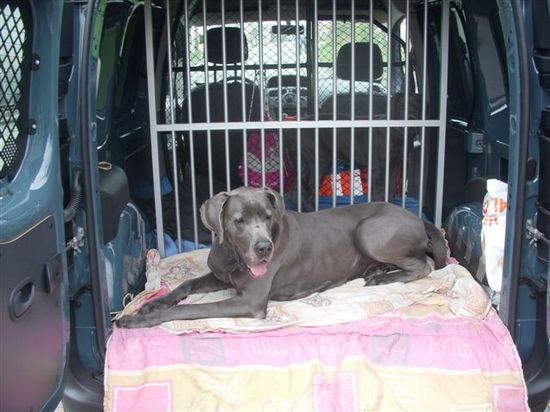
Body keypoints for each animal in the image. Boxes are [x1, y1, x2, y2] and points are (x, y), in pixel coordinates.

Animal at [117, 186, 446, 328]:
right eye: (239, 220)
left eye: (267, 216)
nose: (264, 247)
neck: (234, 255)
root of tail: (418, 218)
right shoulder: (220, 275)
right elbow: (184, 287)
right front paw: (152, 303)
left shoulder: (249, 301)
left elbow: (188, 309)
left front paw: (139, 319)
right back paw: (378, 271)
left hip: (369, 231)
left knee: (424, 265)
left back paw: (384, 278)